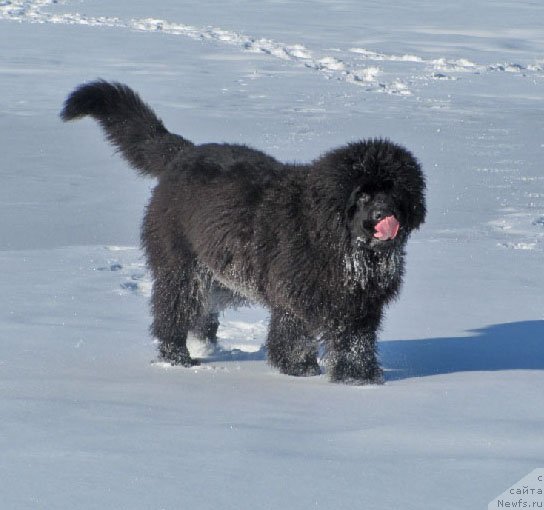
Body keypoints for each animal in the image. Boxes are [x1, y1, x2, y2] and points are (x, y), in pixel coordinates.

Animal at [60, 79, 424, 382]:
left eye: (393, 191)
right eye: (362, 194)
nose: (384, 213)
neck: (340, 243)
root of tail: (184, 153)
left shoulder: (360, 308)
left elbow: (355, 344)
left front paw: (358, 378)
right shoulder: (294, 299)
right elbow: (294, 336)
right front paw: (299, 370)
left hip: (221, 270)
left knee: (203, 312)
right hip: (180, 267)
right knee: (172, 312)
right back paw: (178, 358)